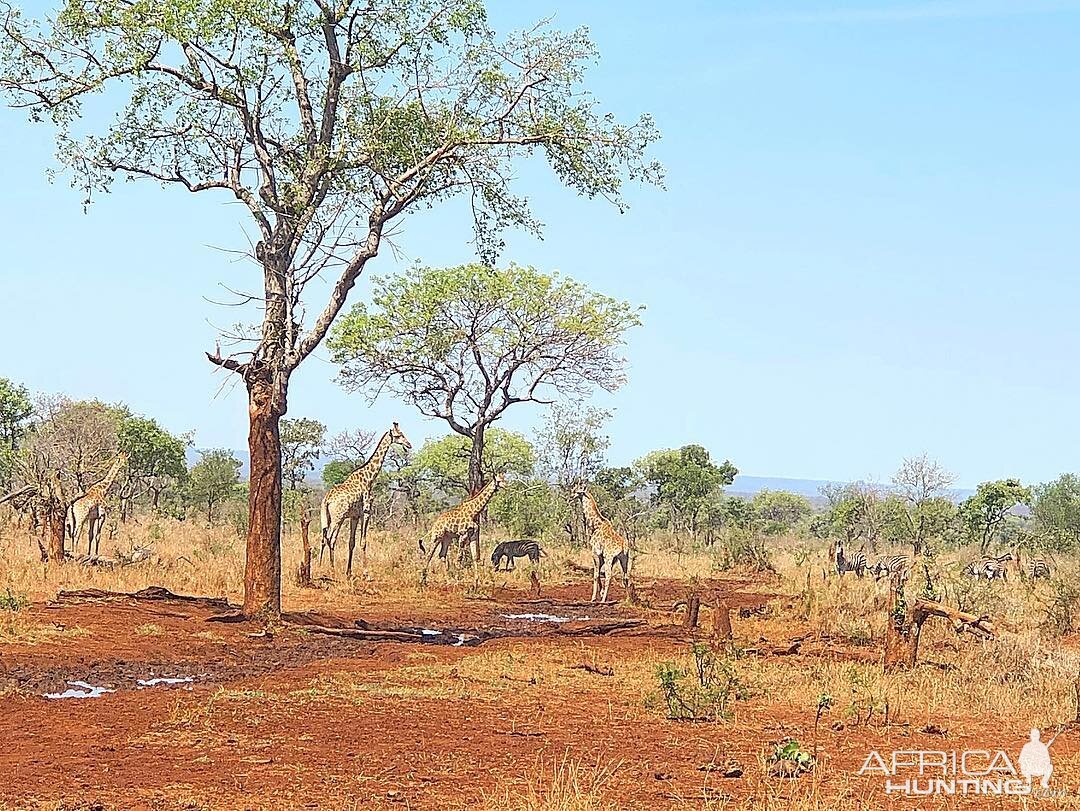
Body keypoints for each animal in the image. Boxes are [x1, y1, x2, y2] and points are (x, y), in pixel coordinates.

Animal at [317, 425, 410, 578]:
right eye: (399, 435)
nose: (409, 445)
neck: (369, 478)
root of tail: (327, 500)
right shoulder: (366, 512)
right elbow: (363, 542)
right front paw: (366, 573)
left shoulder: (354, 516)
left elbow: (351, 542)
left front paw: (349, 572)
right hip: (337, 517)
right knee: (329, 538)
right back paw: (329, 569)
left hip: (327, 517)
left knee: (325, 538)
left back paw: (323, 567)